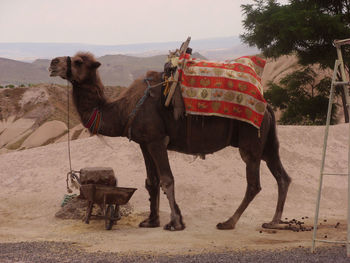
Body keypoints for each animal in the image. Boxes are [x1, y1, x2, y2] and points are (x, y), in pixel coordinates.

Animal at [48, 52, 290, 232]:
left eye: (78, 62)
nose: (53, 63)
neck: (124, 110)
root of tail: (266, 105)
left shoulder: (156, 140)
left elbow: (167, 179)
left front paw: (174, 223)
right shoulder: (144, 143)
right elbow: (151, 181)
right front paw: (151, 220)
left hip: (251, 141)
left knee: (254, 184)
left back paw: (228, 222)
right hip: (268, 144)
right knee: (283, 177)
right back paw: (274, 222)